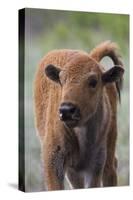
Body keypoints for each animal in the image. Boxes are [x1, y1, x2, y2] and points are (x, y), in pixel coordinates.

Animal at [33, 41, 124, 191]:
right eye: (62, 80)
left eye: (93, 82)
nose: (66, 110)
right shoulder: (54, 163)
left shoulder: (95, 165)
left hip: (110, 143)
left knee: (110, 168)